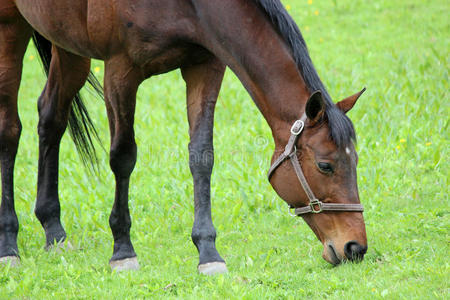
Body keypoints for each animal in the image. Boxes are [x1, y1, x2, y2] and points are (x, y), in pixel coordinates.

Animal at [0, 0, 368, 274]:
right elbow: (123, 156)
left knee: (51, 118)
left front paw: (208, 252)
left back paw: (54, 231)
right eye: (325, 166)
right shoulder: (120, 71)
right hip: (11, 29)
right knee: (10, 131)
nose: (355, 247)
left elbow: (202, 156)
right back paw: (9, 244)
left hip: (69, 46)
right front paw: (123, 250)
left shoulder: (205, 66)